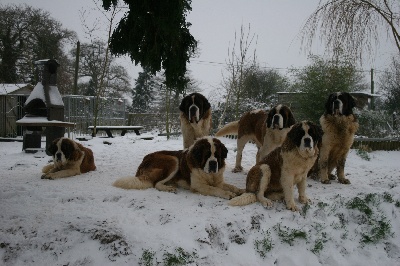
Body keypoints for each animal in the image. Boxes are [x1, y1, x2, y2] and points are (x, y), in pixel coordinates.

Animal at [111, 137, 244, 200]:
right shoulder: (198, 186)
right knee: (156, 183)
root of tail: (144, 159)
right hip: (173, 160)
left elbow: (230, 186)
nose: (213, 163)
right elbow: (215, 189)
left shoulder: (219, 181)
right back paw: (168, 188)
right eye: (206, 155)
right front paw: (228, 194)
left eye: (217, 155)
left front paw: (240, 190)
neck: (208, 174)